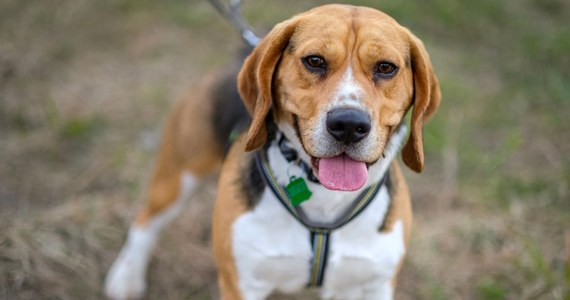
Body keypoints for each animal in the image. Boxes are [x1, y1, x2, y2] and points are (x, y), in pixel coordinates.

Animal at [104, 4, 440, 300]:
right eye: (314, 61)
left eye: (385, 68)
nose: (348, 124)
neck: (324, 199)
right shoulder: (241, 284)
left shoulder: (374, 285)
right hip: (179, 175)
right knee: (145, 222)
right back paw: (125, 278)